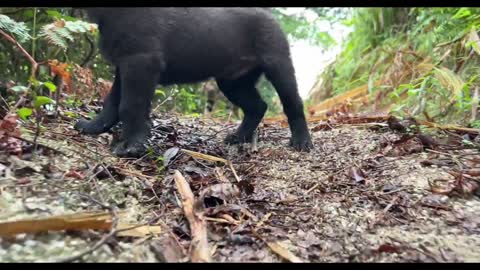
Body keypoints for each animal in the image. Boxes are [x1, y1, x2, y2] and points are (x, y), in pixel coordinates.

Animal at [75, 7, 314, 157]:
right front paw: (93, 126)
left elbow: (130, 106)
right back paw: (239, 137)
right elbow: (112, 103)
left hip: (278, 66)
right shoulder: (124, 65)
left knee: (293, 104)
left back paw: (302, 141)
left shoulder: (141, 62)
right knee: (257, 106)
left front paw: (132, 145)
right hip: (232, 82)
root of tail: (269, 15)